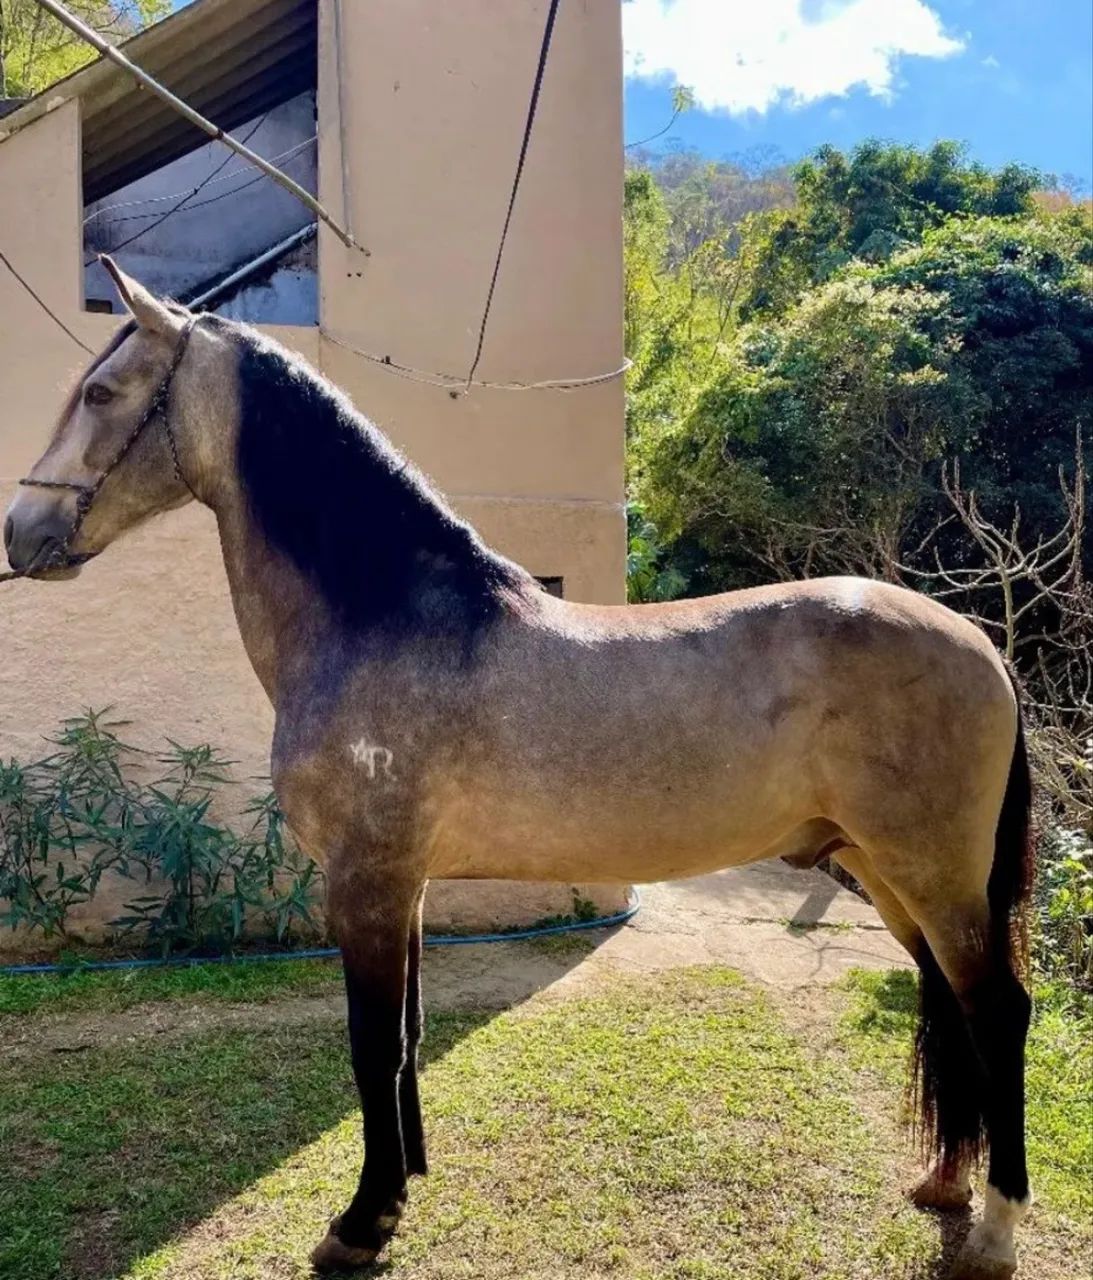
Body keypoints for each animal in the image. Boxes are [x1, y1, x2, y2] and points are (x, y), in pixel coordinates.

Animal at [3, 258, 1035, 1280]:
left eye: (101, 392)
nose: (21, 531)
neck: (385, 618)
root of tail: (977, 641)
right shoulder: (405, 886)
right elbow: (406, 1039)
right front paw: (400, 1191)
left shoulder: (365, 884)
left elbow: (371, 1047)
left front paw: (360, 1223)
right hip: (884, 873)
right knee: (948, 1004)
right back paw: (942, 1184)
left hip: (931, 873)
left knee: (998, 1012)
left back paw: (993, 1229)